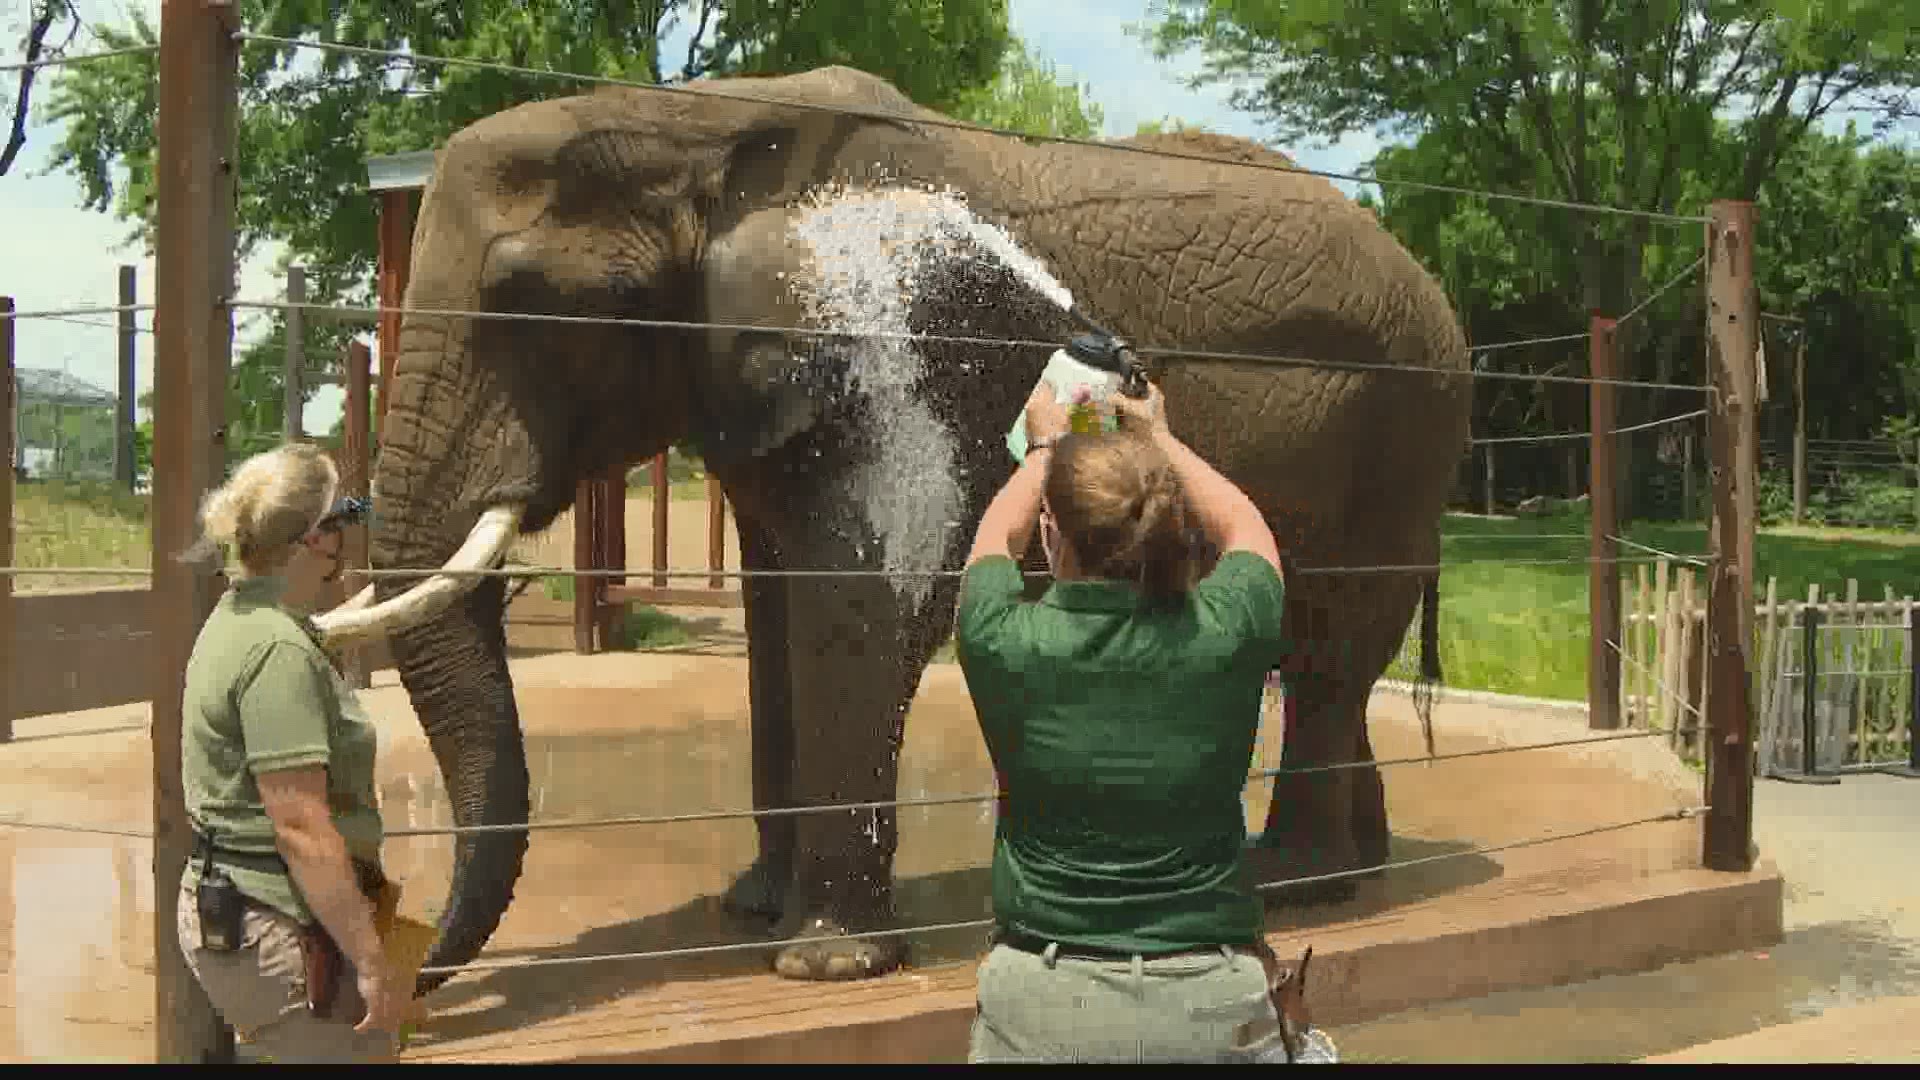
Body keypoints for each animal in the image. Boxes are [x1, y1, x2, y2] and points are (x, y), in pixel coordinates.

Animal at [318, 65, 1466, 991]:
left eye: (525, 303)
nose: (417, 974)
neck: (691, 121)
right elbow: (777, 611)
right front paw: (751, 908)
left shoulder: (903, 341)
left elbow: (869, 602)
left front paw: (822, 964)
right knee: (1319, 646)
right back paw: (1353, 867)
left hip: (1407, 428)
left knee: (1326, 647)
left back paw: (1301, 884)